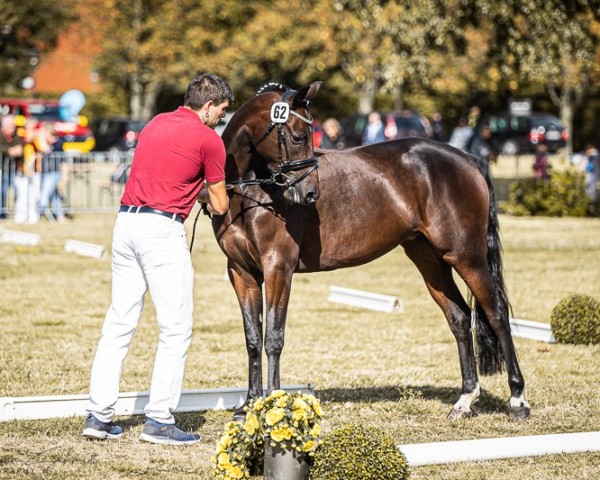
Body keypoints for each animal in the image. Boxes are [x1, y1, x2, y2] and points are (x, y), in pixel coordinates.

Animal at [210, 81, 528, 420]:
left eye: (308, 135)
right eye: (298, 136)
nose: (310, 193)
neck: (253, 195)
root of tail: (467, 159)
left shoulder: (278, 268)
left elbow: (273, 337)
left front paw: (274, 406)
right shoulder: (241, 272)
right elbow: (253, 338)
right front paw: (249, 406)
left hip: (467, 257)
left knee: (496, 315)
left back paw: (518, 399)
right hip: (430, 259)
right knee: (459, 317)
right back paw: (465, 399)